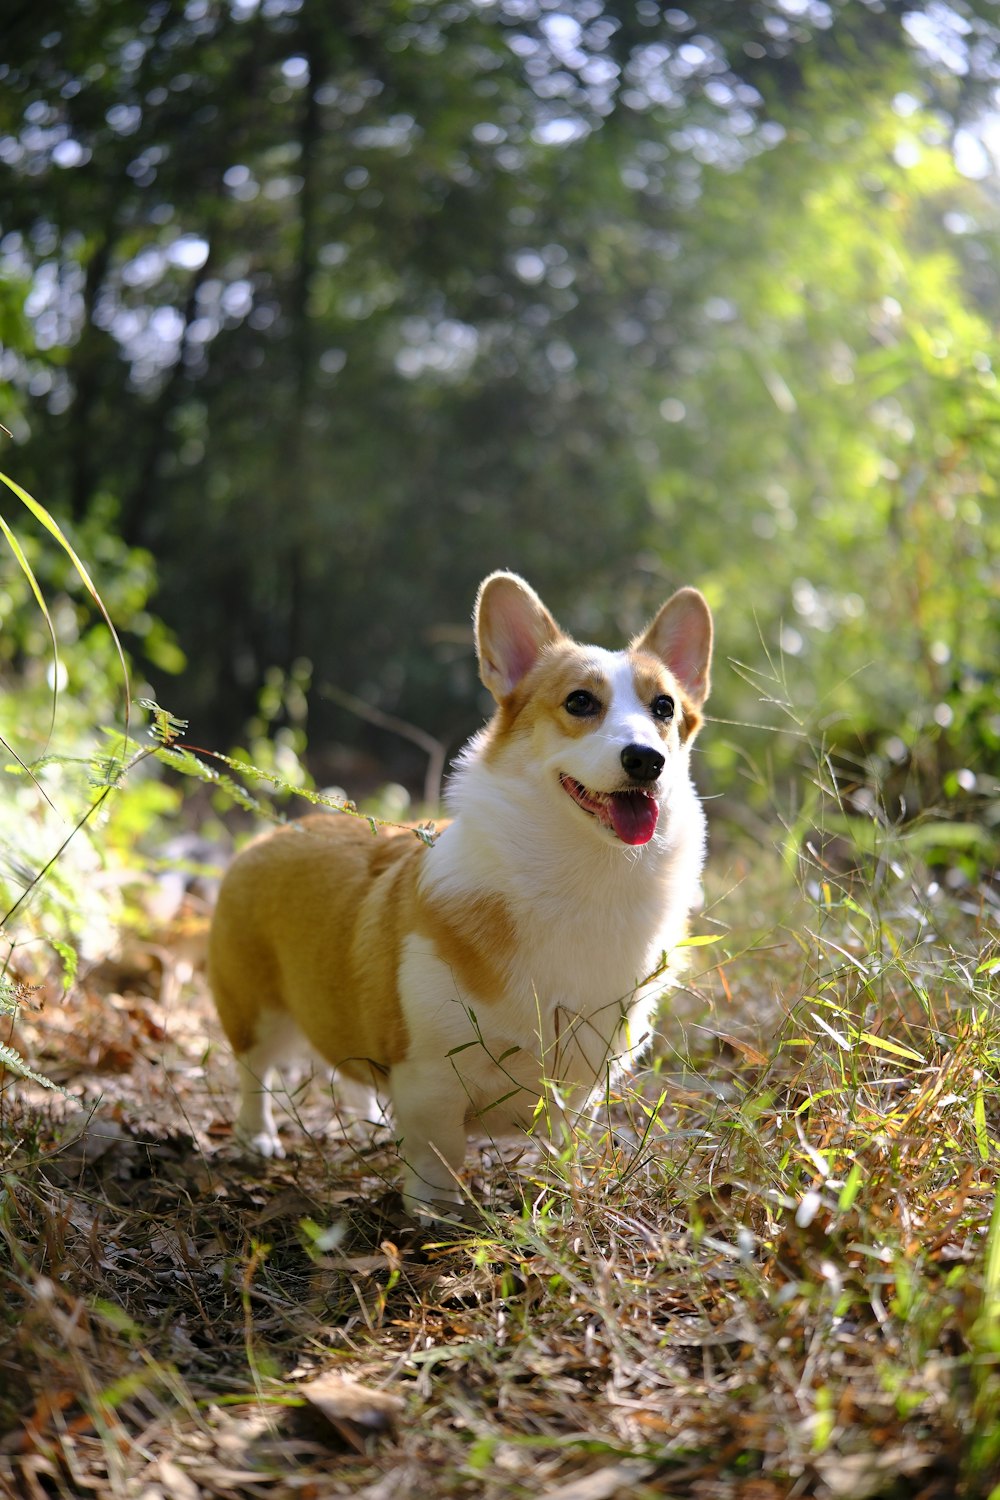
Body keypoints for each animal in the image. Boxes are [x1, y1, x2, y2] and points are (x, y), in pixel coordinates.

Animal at [209, 567, 710, 1212]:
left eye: (664, 707)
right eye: (580, 701)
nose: (646, 760)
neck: (583, 881)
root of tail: (269, 834)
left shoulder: (582, 1081)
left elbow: (565, 1136)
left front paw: (562, 1186)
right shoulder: (430, 1078)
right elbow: (437, 1151)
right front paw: (437, 1210)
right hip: (257, 1012)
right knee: (255, 1072)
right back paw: (258, 1137)